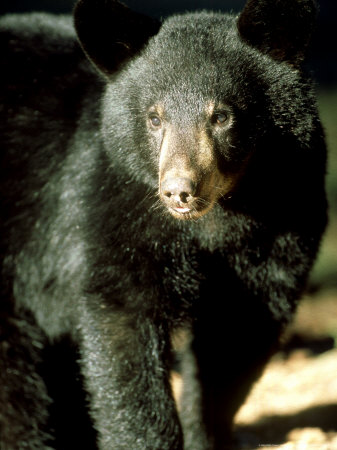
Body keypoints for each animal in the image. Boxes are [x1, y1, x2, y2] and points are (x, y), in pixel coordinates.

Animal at [0, 0, 326, 448]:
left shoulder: (285, 218)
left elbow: (238, 338)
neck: (220, 219)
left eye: (221, 116)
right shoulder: (110, 206)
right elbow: (123, 331)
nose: (178, 191)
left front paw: (205, 433)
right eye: (155, 118)